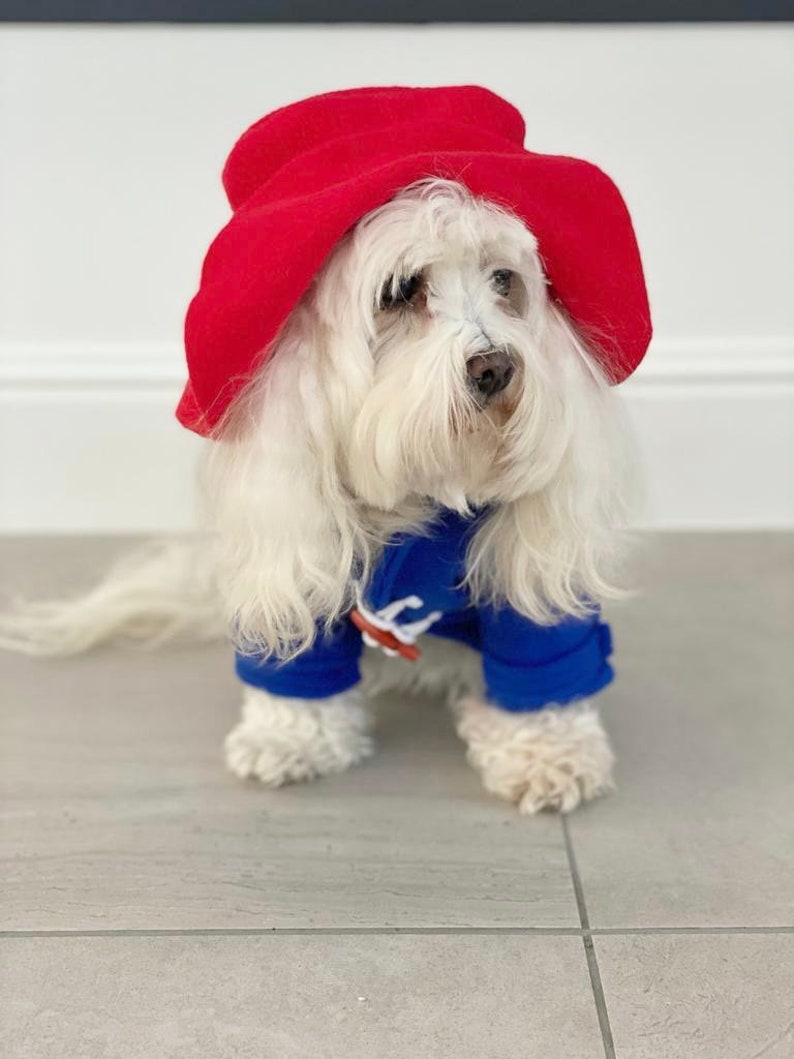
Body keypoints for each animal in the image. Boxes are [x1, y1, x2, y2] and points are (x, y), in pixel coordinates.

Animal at [0, 86, 652, 813]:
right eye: (401, 291)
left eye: (505, 281)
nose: (495, 367)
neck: (421, 494)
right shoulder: (296, 537)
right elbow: (301, 653)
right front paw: (292, 735)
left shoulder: (530, 566)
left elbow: (544, 650)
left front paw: (548, 750)